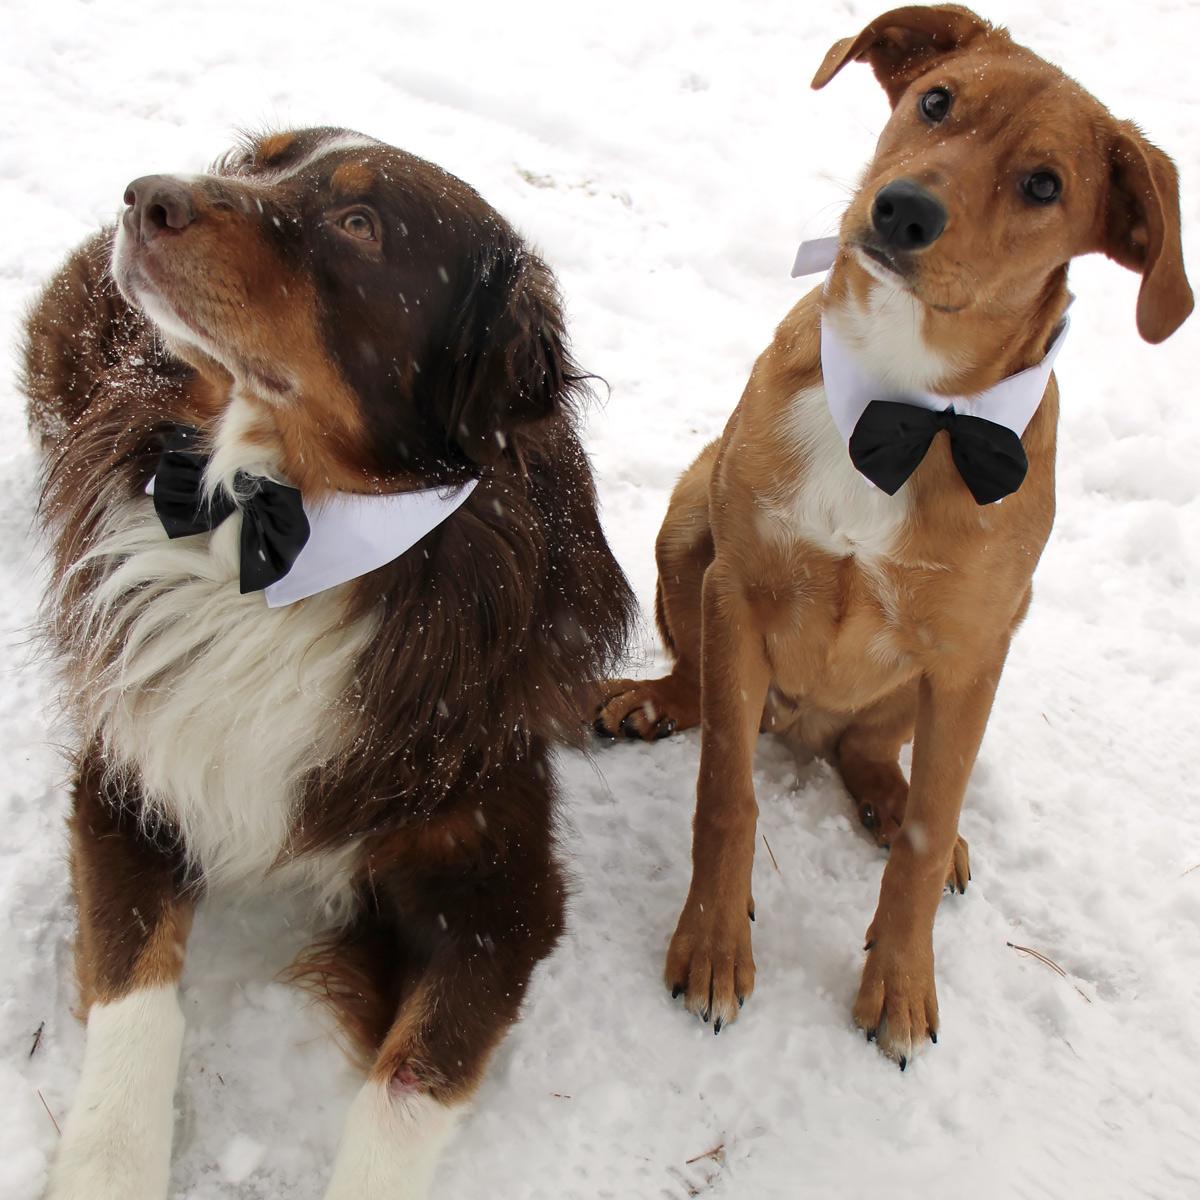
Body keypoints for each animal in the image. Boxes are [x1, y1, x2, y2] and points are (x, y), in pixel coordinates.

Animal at [23, 129, 633, 1200]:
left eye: (358, 223)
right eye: (258, 162)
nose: (143, 195)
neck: (280, 518)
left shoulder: (504, 890)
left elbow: (408, 1084)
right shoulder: (131, 769)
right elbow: (139, 997)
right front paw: (107, 1167)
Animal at [597, 4, 1190, 1065]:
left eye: (1045, 185)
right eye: (936, 102)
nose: (903, 211)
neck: (905, 401)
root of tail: (801, 720)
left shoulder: (970, 655)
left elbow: (919, 840)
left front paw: (903, 984)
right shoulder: (739, 590)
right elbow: (726, 794)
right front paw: (711, 945)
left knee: (878, 762)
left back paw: (896, 804)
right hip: (690, 515)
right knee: (707, 692)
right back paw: (652, 701)